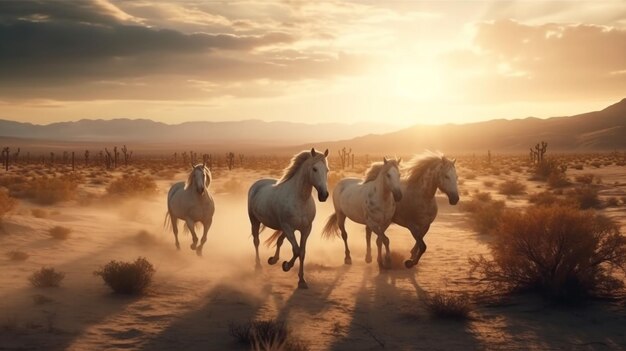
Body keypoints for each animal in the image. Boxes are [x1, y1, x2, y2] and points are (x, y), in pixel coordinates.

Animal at [247, 148, 330, 288]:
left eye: (327, 170)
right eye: (314, 169)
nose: (324, 195)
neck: (300, 199)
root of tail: (257, 183)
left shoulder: (305, 229)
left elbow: (302, 252)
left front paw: (302, 280)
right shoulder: (288, 227)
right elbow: (296, 250)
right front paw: (286, 266)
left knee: (279, 241)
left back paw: (273, 260)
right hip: (254, 220)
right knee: (256, 241)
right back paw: (258, 265)